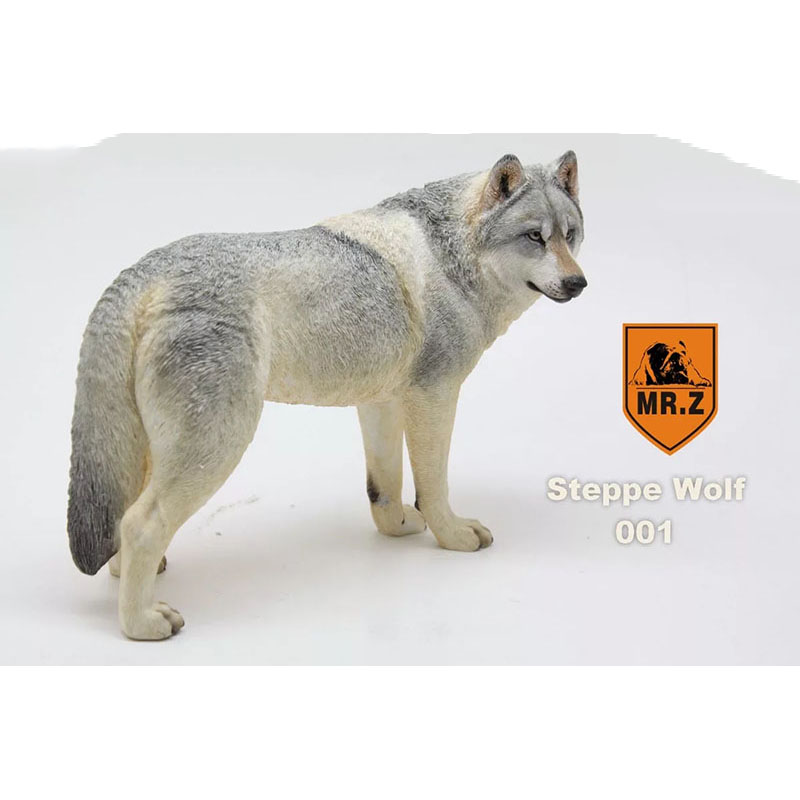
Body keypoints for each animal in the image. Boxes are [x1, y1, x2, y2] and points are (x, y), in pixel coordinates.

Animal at [67, 151, 587, 639]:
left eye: (571, 234)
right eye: (534, 237)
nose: (578, 283)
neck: (453, 254)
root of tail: (141, 272)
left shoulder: (381, 402)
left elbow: (384, 487)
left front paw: (397, 529)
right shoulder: (434, 396)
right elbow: (434, 486)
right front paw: (454, 535)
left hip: (152, 450)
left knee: (123, 520)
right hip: (217, 446)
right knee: (140, 524)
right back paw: (141, 623)